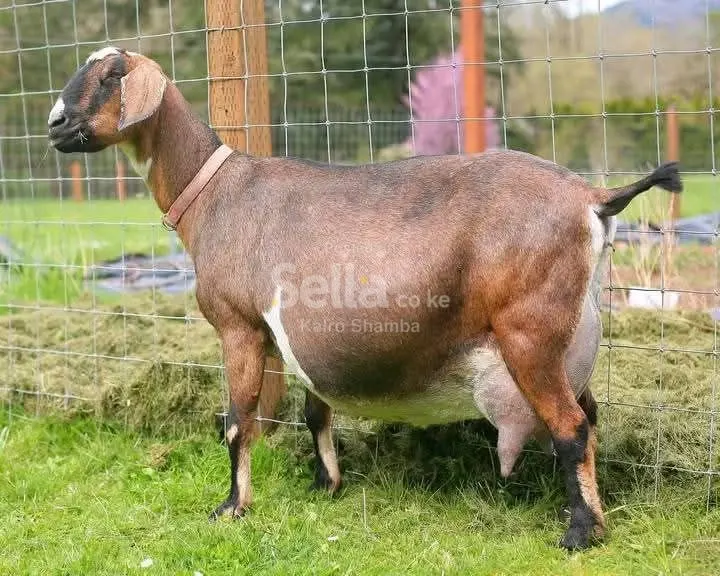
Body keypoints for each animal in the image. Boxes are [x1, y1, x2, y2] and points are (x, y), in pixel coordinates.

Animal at [48, 48, 682, 550]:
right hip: (569, 341)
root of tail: (593, 199)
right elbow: (314, 410)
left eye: (110, 74)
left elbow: (237, 422)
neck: (214, 194)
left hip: (529, 333)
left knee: (570, 429)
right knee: (589, 419)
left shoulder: (239, 326)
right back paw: (590, 515)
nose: (55, 123)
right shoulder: (293, 336)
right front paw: (325, 484)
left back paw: (580, 534)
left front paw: (231, 508)